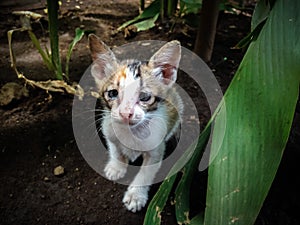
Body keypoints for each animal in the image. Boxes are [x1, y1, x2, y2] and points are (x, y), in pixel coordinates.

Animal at [88, 33, 183, 213]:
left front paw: (136, 195)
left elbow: (146, 173)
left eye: (144, 97)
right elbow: (115, 148)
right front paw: (116, 167)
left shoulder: (156, 149)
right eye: (113, 93)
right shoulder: (108, 128)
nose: (126, 113)